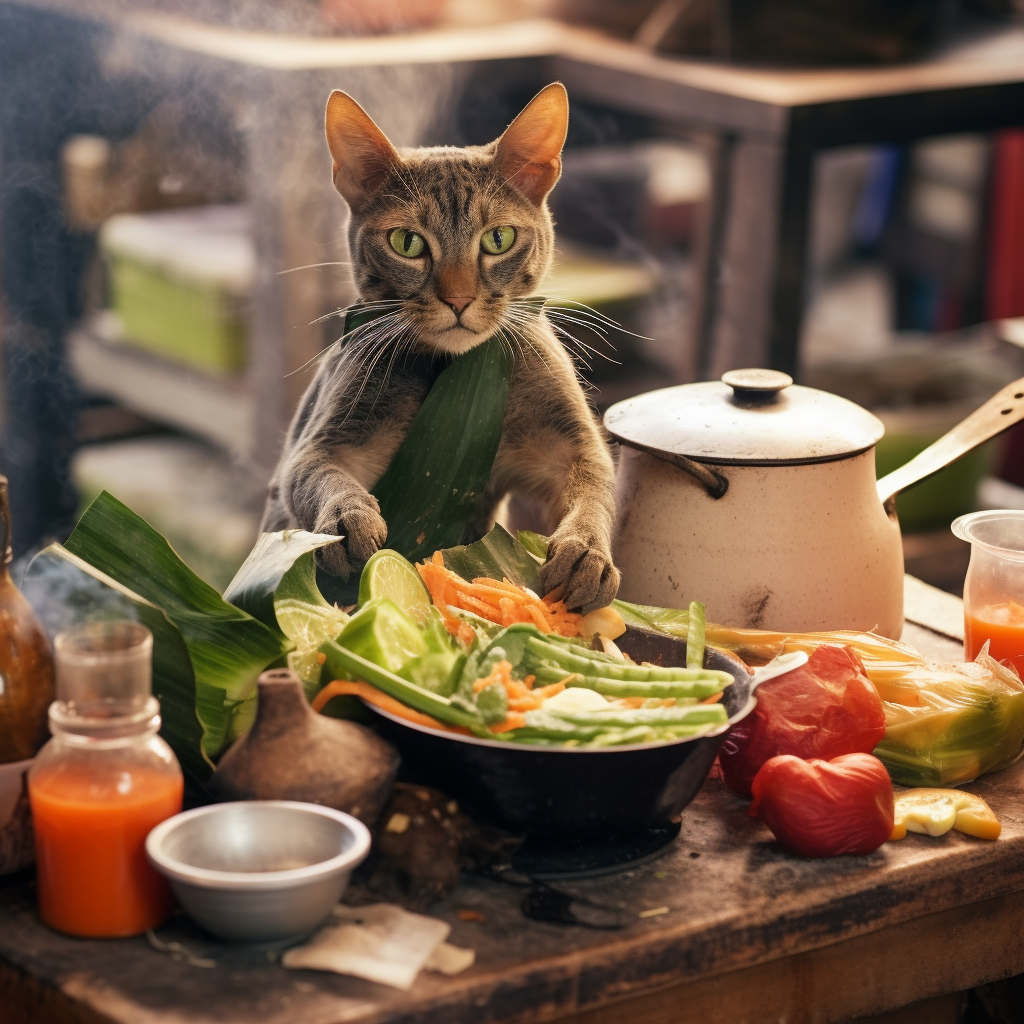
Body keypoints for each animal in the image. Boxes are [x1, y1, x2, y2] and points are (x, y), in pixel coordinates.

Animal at [260, 83, 618, 610]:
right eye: (407, 242)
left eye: (498, 238)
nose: (458, 299)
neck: (450, 370)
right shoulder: (318, 444)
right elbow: (320, 478)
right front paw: (348, 521)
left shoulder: (570, 446)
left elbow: (595, 487)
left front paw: (586, 552)